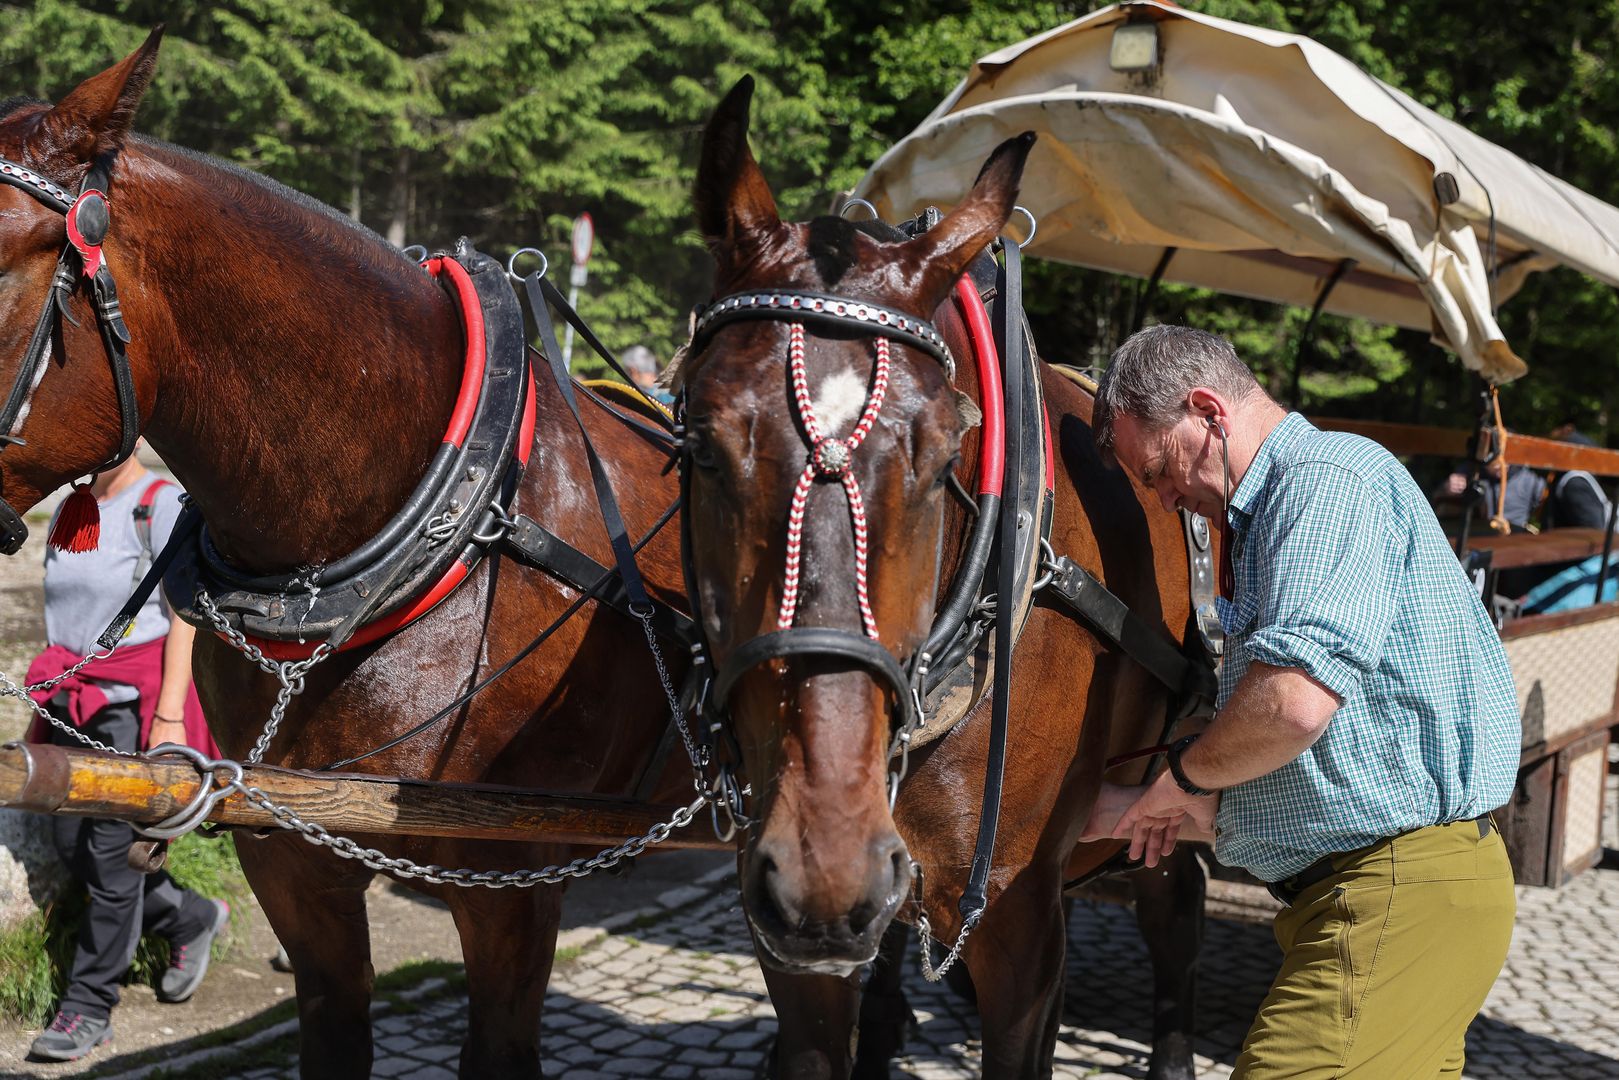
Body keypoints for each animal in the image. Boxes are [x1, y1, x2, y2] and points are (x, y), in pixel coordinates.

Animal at [676, 80, 1211, 1075]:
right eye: (699, 444)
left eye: (937, 462)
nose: (825, 861)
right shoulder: (792, 922)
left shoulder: (1012, 913)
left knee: (1173, 912)